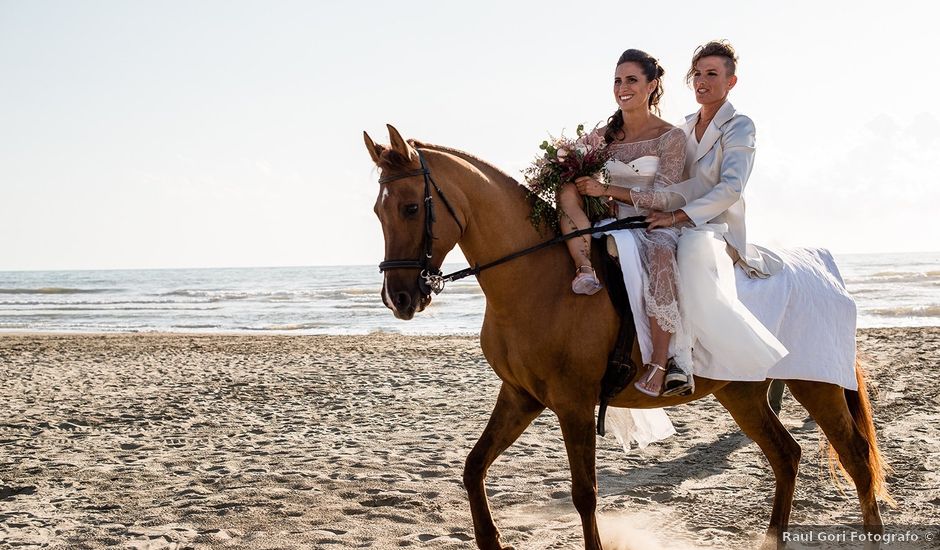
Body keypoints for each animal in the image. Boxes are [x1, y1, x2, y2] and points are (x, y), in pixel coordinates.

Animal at [364, 126, 892, 550]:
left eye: (410, 208)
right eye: (377, 211)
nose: (399, 297)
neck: (540, 278)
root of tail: (821, 267)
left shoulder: (574, 403)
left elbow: (584, 494)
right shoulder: (520, 396)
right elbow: (474, 467)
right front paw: (492, 542)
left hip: (815, 384)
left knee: (856, 459)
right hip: (741, 392)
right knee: (786, 455)